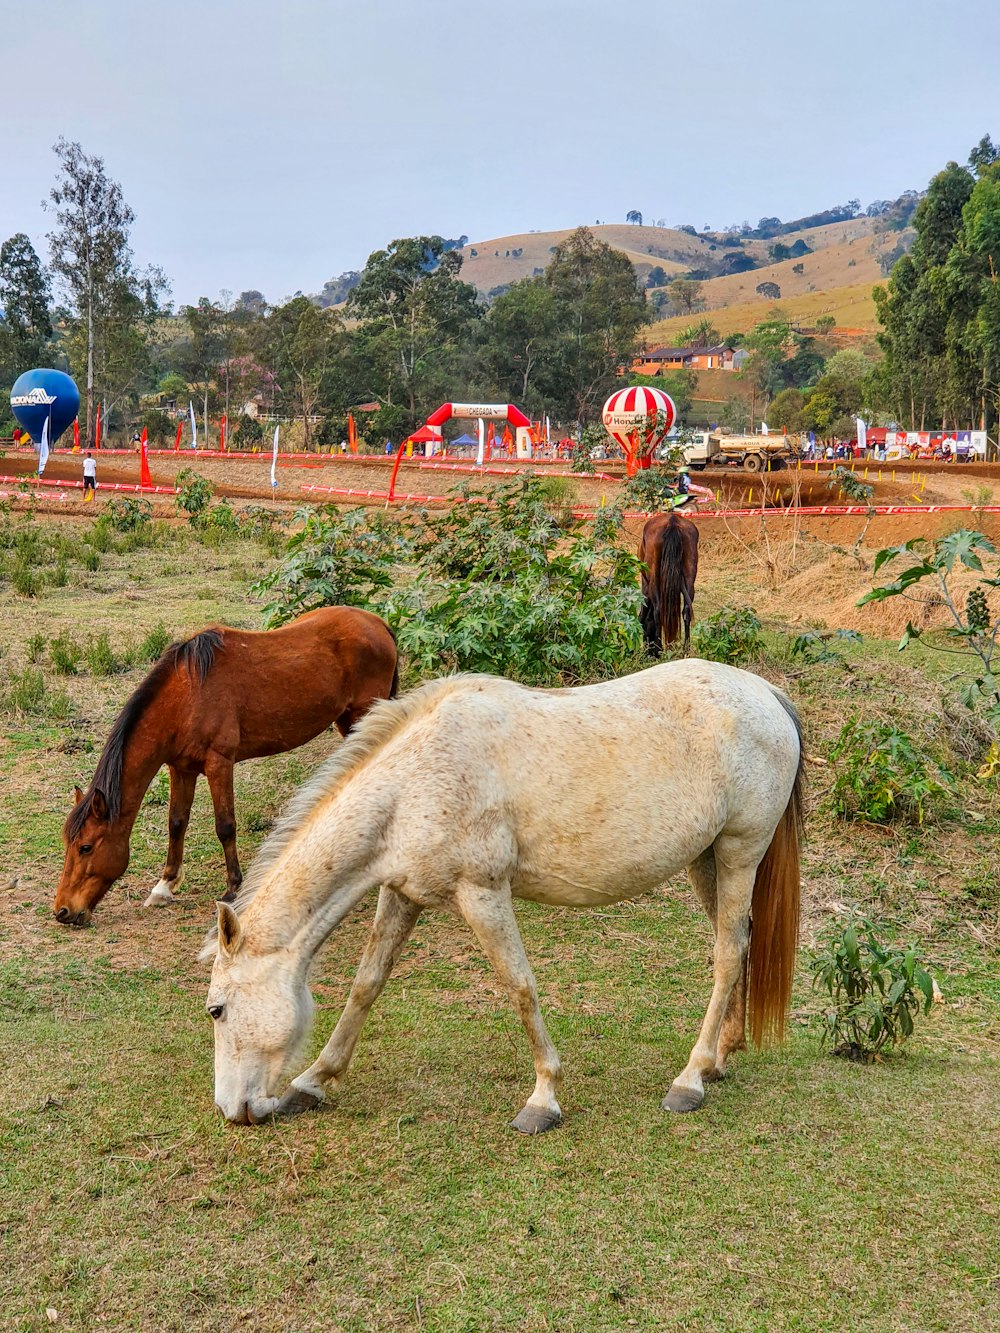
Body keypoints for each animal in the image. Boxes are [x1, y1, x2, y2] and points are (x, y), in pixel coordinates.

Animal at [54, 607, 400, 927]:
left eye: (85, 847)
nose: (62, 911)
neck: (186, 696)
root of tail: (377, 623)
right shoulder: (181, 769)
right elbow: (176, 822)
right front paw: (164, 886)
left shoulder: (219, 763)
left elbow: (225, 826)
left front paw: (234, 888)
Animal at [204, 661, 805, 1130]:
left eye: (216, 1009)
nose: (233, 1110)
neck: (414, 783)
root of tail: (765, 693)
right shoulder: (401, 893)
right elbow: (366, 984)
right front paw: (311, 1082)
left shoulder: (483, 894)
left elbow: (520, 988)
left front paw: (543, 1099)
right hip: (706, 861)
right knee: (739, 944)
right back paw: (720, 1058)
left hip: (739, 853)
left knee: (727, 954)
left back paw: (690, 1079)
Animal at [637, 509, 698, 655]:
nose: (649, 653)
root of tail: (672, 522)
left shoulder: (645, 586)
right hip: (689, 577)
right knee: (687, 610)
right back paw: (686, 650)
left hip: (653, 578)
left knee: (658, 611)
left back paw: (659, 650)